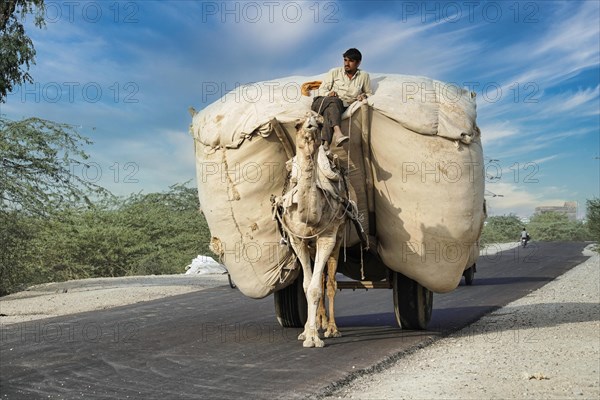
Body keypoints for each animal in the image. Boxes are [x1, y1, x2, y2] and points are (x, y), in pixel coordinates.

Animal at [274, 111, 350, 346]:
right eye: (297, 124)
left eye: (319, 122)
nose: (311, 126)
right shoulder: (297, 239)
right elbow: (308, 286)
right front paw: (307, 332)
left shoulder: (328, 237)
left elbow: (317, 288)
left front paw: (314, 339)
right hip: (311, 246)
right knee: (321, 279)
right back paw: (318, 323)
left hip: (338, 237)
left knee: (330, 283)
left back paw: (332, 328)